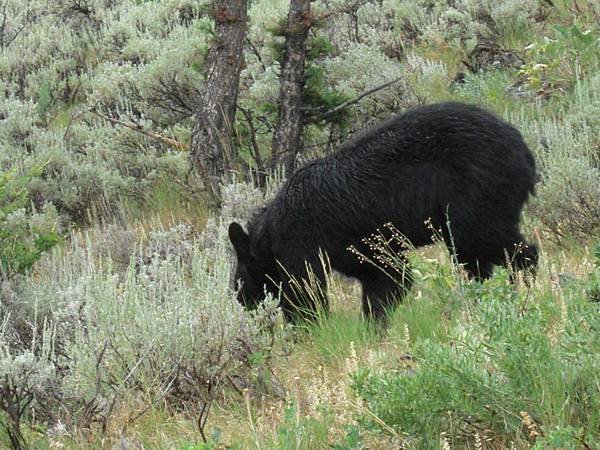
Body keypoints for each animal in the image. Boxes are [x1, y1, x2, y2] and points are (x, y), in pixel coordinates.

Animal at [230, 101, 540, 322]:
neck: (268, 233)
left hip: (476, 195)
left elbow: (305, 288)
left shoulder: (302, 241)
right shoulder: (354, 246)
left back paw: (527, 286)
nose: (243, 306)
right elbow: (387, 275)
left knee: (493, 242)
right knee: (473, 258)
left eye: (239, 284)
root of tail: (524, 150)